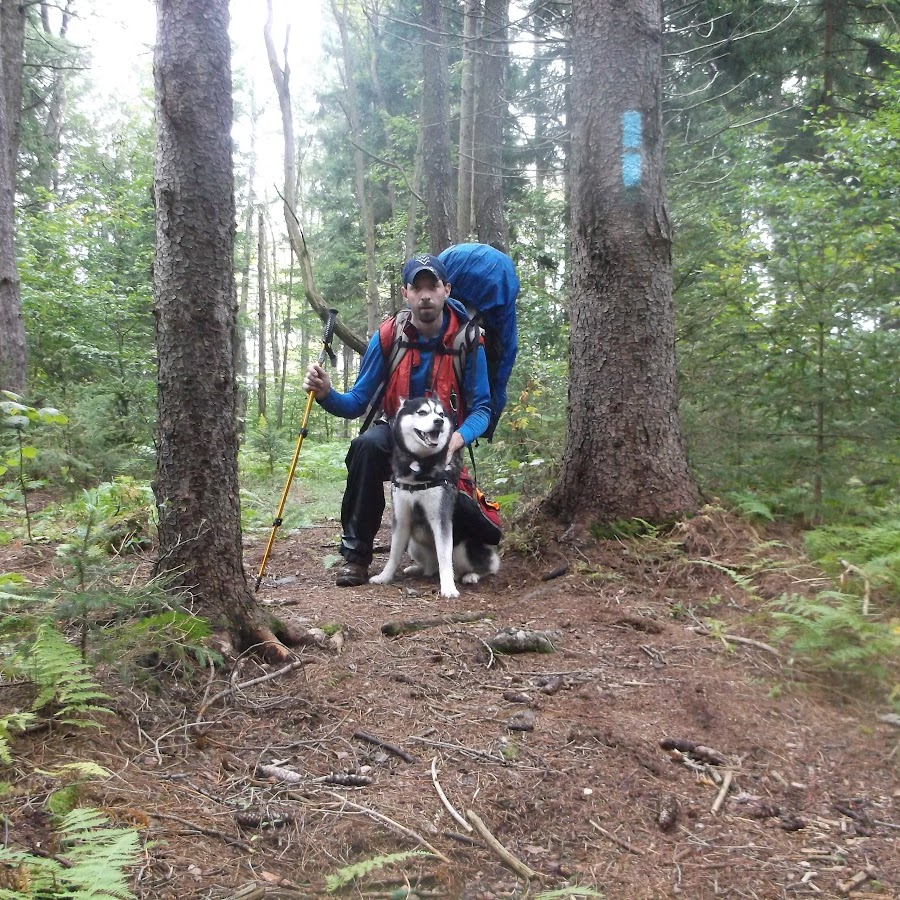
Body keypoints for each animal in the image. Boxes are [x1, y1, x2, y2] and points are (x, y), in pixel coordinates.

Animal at [369, 397, 500, 598]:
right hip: (414, 544)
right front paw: (385, 576)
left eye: (440, 414)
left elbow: (444, 556)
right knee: (430, 567)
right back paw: (418, 569)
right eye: (422, 412)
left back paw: (471, 575)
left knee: (487, 566)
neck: (420, 464)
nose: (438, 421)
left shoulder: (441, 518)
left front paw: (448, 588)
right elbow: (393, 553)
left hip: (464, 548)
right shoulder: (402, 517)